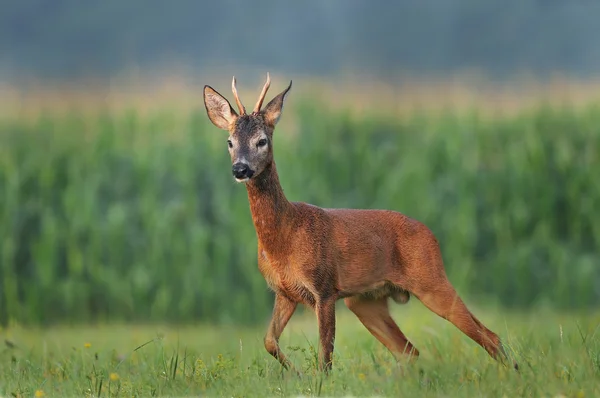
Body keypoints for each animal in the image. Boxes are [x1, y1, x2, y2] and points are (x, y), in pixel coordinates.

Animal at [203, 73, 520, 374]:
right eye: (230, 142)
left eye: (262, 140)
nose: (240, 169)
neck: (285, 236)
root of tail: (431, 234)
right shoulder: (285, 292)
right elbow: (269, 341)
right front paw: (297, 374)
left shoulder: (324, 287)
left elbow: (325, 356)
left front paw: (315, 380)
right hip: (366, 301)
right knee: (409, 351)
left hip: (430, 279)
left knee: (488, 336)